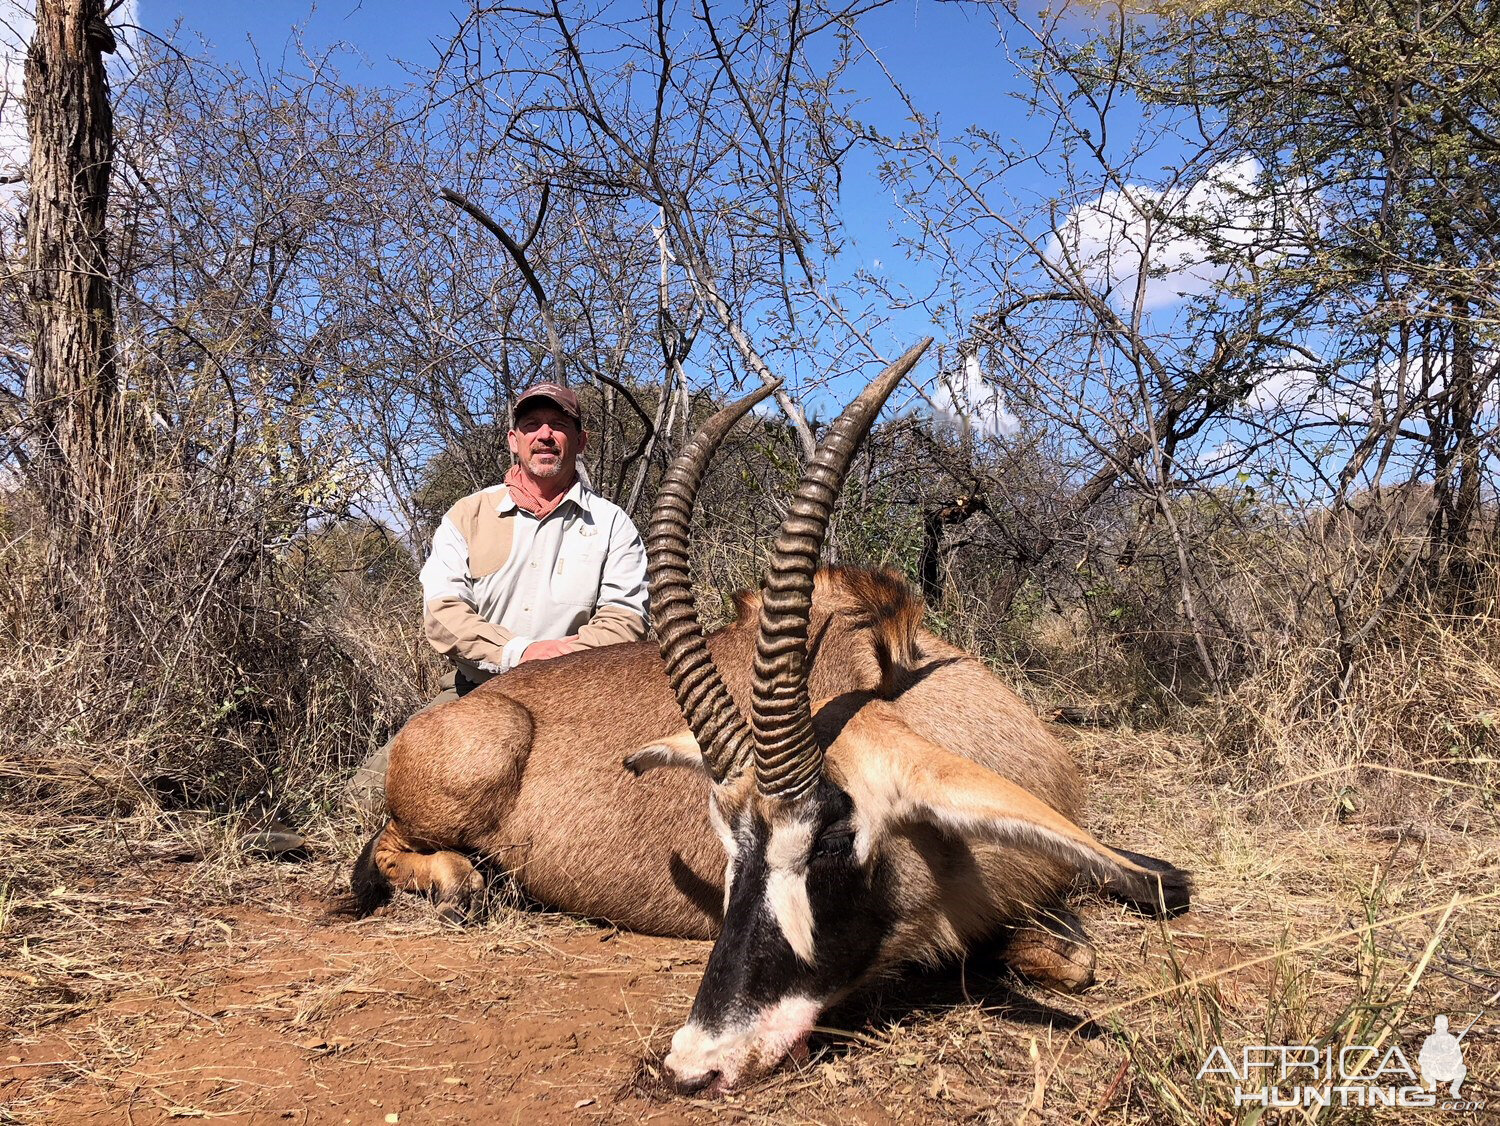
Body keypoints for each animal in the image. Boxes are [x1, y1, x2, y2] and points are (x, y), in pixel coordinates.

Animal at [345, 341, 1188, 1091]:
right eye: (730, 847)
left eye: (832, 840)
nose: (698, 1062)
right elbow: (1047, 952)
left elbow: (1147, 892)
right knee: (400, 850)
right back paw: (465, 877)